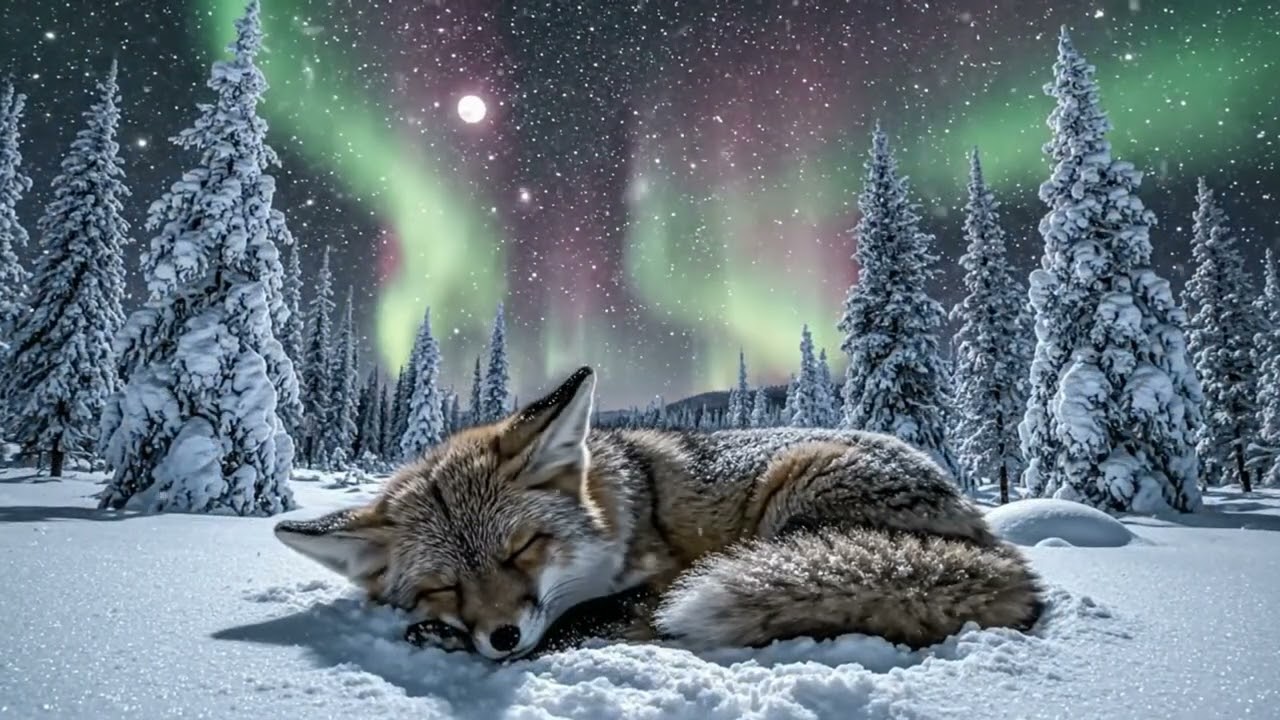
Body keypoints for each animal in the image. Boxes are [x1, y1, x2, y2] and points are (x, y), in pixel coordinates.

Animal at [274, 366, 1043, 661]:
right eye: (443, 586)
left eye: (522, 549)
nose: (500, 636)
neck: (623, 508)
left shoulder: (663, 573)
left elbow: (584, 619)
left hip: (793, 496)